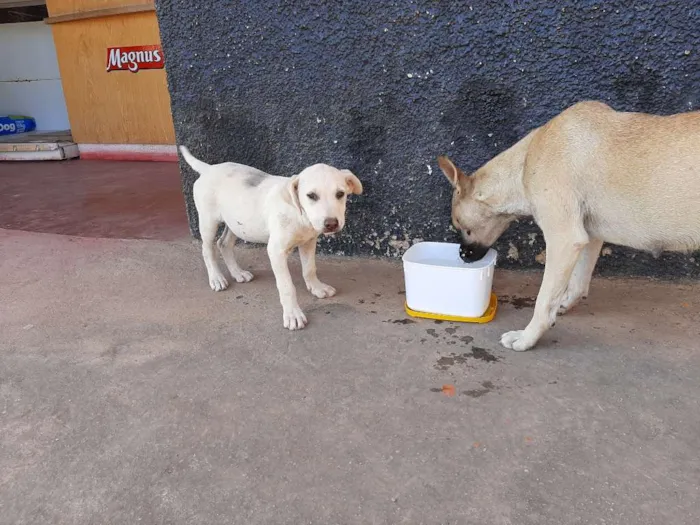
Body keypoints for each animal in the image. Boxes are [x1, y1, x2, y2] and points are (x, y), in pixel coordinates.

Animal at [178, 145, 364, 330]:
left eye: (340, 194)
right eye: (311, 196)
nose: (331, 224)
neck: (299, 215)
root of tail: (209, 168)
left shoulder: (309, 242)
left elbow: (309, 268)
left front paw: (317, 287)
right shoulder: (276, 251)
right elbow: (286, 286)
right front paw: (293, 315)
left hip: (236, 223)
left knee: (223, 244)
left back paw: (238, 273)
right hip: (208, 222)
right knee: (207, 249)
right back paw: (216, 278)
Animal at [438, 100, 700, 350]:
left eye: (462, 226)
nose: (462, 254)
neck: (525, 161)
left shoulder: (563, 239)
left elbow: (543, 300)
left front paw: (527, 337)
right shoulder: (589, 237)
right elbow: (577, 283)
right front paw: (562, 304)